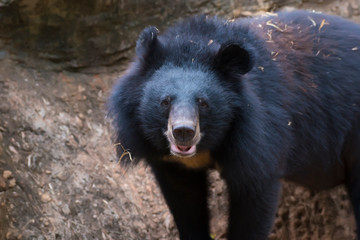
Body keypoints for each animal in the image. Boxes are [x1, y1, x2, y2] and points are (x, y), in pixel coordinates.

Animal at [108, 10, 360, 239]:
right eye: (165, 101)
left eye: (203, 102)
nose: (183, 132)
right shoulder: (169, 161)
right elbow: (185, 203)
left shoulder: (257, 138)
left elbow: (254, 199)